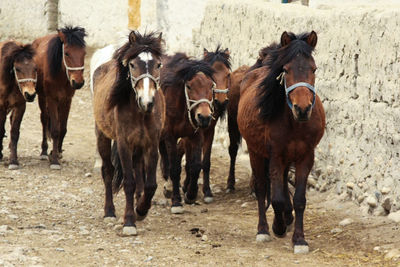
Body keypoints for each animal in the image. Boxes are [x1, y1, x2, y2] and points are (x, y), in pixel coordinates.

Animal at [0, 40, 37, 170]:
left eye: (35, 68)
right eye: (17, 68)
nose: (30, 94)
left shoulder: (20, 106)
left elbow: (15, 132)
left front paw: (13, 161)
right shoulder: (1, 106)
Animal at [32, 26, 86, 169]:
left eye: (84, 53)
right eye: (66, 53)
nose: (78, 82)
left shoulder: (67, 100)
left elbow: (63, 129)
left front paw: (58, 152)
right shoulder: (52, 99)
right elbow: (55, 130)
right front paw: (54, 160)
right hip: (42, 97)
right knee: (44, 120)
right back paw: (44, 151)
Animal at [92, 31, 164, 237]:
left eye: (158, 64)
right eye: (132, 65)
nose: (147, 102)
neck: (140, 112)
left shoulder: (151, 145)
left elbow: (150, 184)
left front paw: (141, 210)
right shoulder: (124, 144)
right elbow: (129, 182)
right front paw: (129, 222)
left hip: (138, 146)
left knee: (138, 168)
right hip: (102, 136)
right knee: (108, 170)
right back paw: (109, 212)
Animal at [159, 53, 216, 215]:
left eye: (211, 85)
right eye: (189, 86)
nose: (204, 117)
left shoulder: (196, 135)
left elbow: (196, 165)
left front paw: (190, 195)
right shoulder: (170, 136)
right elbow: (175, 168)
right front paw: (176, 202)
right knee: (164, 159)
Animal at [238, 30, 324, 254]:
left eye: (313, 69)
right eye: (286, 69)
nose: (302, 109)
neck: (295, 123)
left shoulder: (305, 157)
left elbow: (300, 199)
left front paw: (300, 240)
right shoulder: (275, 155)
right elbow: (275, 198)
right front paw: (278, 226)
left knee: (284, 184)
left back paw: (288, 216)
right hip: (256, 153)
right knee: (261, 188)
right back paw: (263, 230)